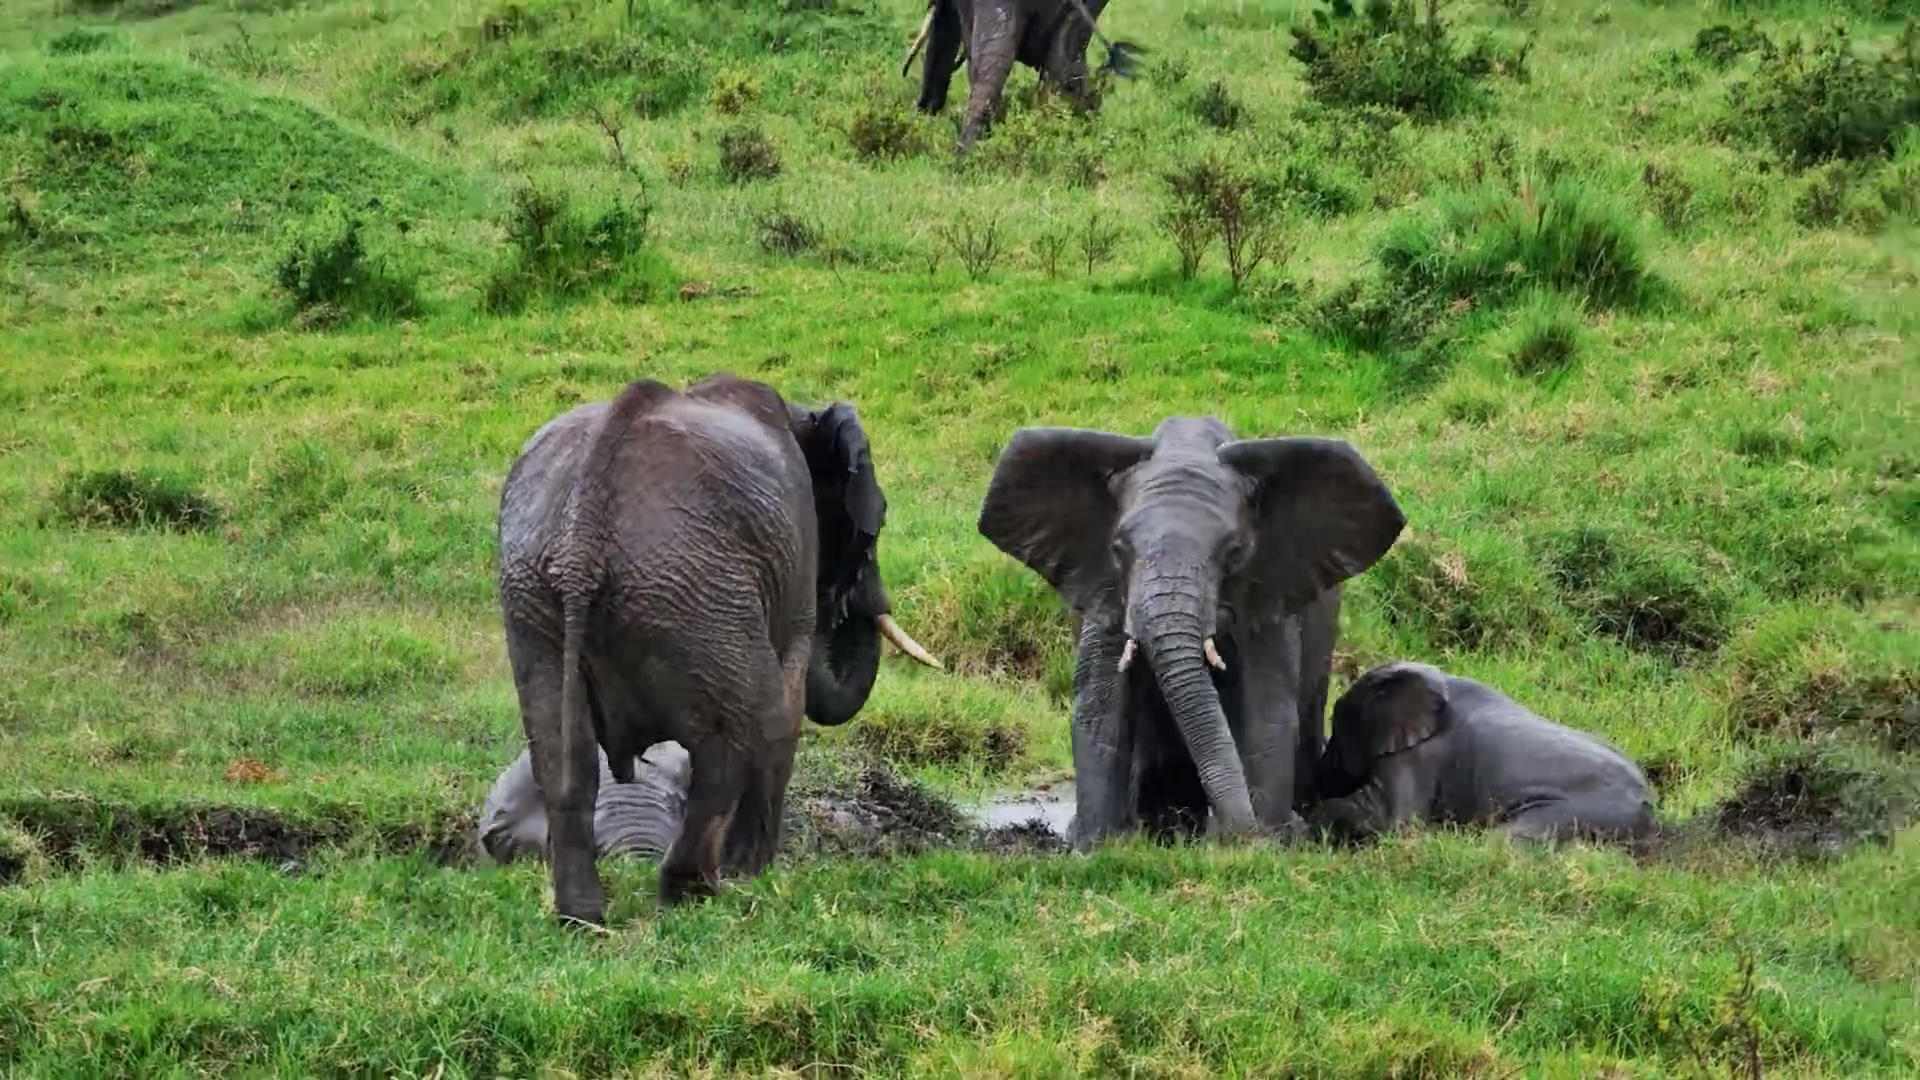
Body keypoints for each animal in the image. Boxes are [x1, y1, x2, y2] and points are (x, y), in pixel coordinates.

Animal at [977, 417, 1406, 852]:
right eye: (1118, 550)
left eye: (1234, 554)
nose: (1239, 833)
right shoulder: (1107, 591)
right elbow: (1100, 709)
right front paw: (1094, 846)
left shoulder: (1268, 591)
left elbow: (1264, 709)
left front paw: (1268, 844)